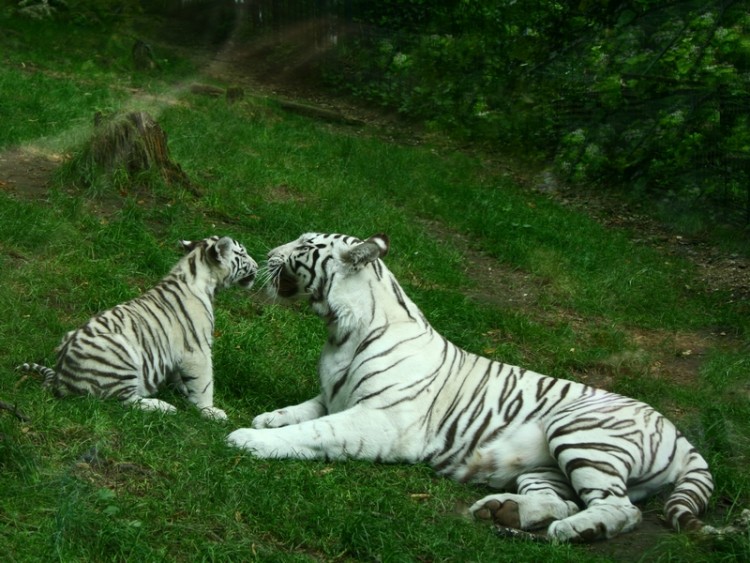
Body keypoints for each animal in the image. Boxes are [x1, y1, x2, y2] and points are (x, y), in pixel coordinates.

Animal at [19, 234, 258, 418]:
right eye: (243, 253)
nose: (257, 265)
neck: (200, 275)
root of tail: (61, 376)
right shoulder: (197, 350)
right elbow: (205, 384)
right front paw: (209, 411)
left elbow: (181, 375)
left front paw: (183, 389)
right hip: (121, 357)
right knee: (120, 402)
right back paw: (164, 407)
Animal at [228, 232, 716, 540]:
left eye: (303, 246)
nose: (270, 251)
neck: (338, 331)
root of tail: (679, 434)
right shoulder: (336, 395)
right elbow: (306, 410)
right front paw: (268, 417)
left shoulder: (382, 422)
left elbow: (316, 431)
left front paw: (250, 438)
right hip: (545, 468)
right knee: (565, 500)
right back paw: (507, 512)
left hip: (582, 436)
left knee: (620, 508)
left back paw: (575, 532)